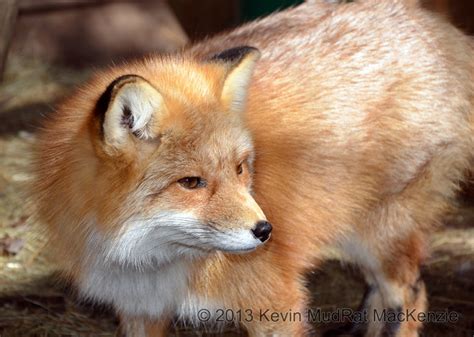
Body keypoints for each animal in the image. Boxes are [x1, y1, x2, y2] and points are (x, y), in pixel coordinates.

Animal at [31, 0, 472, 336]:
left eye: (240, 168)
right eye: (190, 182)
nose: (265, 232)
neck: (150, 259)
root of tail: (434, 26)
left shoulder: (276, 303)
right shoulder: (140, 310)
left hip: (380, 234)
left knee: (411, 294)